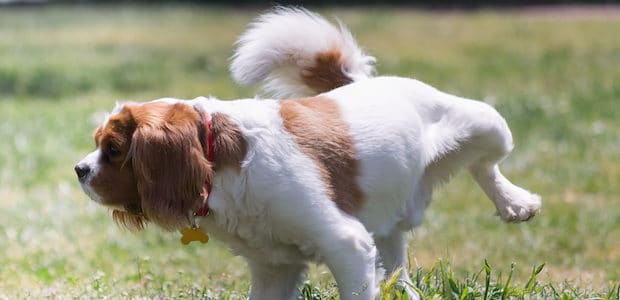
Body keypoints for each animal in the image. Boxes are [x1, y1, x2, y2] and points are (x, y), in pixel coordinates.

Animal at [72, 8, 540, 300]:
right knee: (396, 259)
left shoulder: (346, 244)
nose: (79, 169)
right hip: (388, 217)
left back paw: (515, 203)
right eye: (97, 145)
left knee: (486, 164)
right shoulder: (273, 269)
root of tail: (358, 83)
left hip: (487, 123)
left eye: (113, 149)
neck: (222, 165)